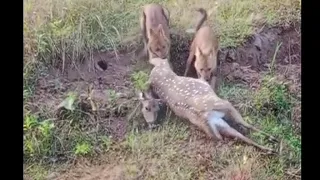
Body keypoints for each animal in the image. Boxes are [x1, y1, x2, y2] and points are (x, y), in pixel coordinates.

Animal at [140, 57, 278, 153]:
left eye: (148, 108)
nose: (151, 124)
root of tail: (205, 118)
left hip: (218, 125)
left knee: (238, 135)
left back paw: (270, 149)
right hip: (223, 105)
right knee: (245, 124)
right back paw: (272, 140)